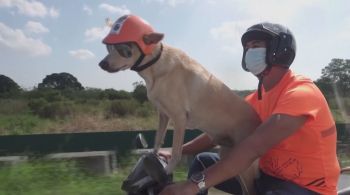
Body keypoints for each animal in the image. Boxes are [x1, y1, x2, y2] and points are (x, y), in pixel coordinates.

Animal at [98, 14, 260, 193]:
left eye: (123, 49)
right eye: (109, 48)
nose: (102, 64)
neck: (156, 65)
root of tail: (258, 120)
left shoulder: (179, 118)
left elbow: (176, 153)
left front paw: (163, 176)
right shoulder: (163, 114)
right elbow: (157, 141)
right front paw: (152, 162)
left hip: (246, 164)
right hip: (229, 157)